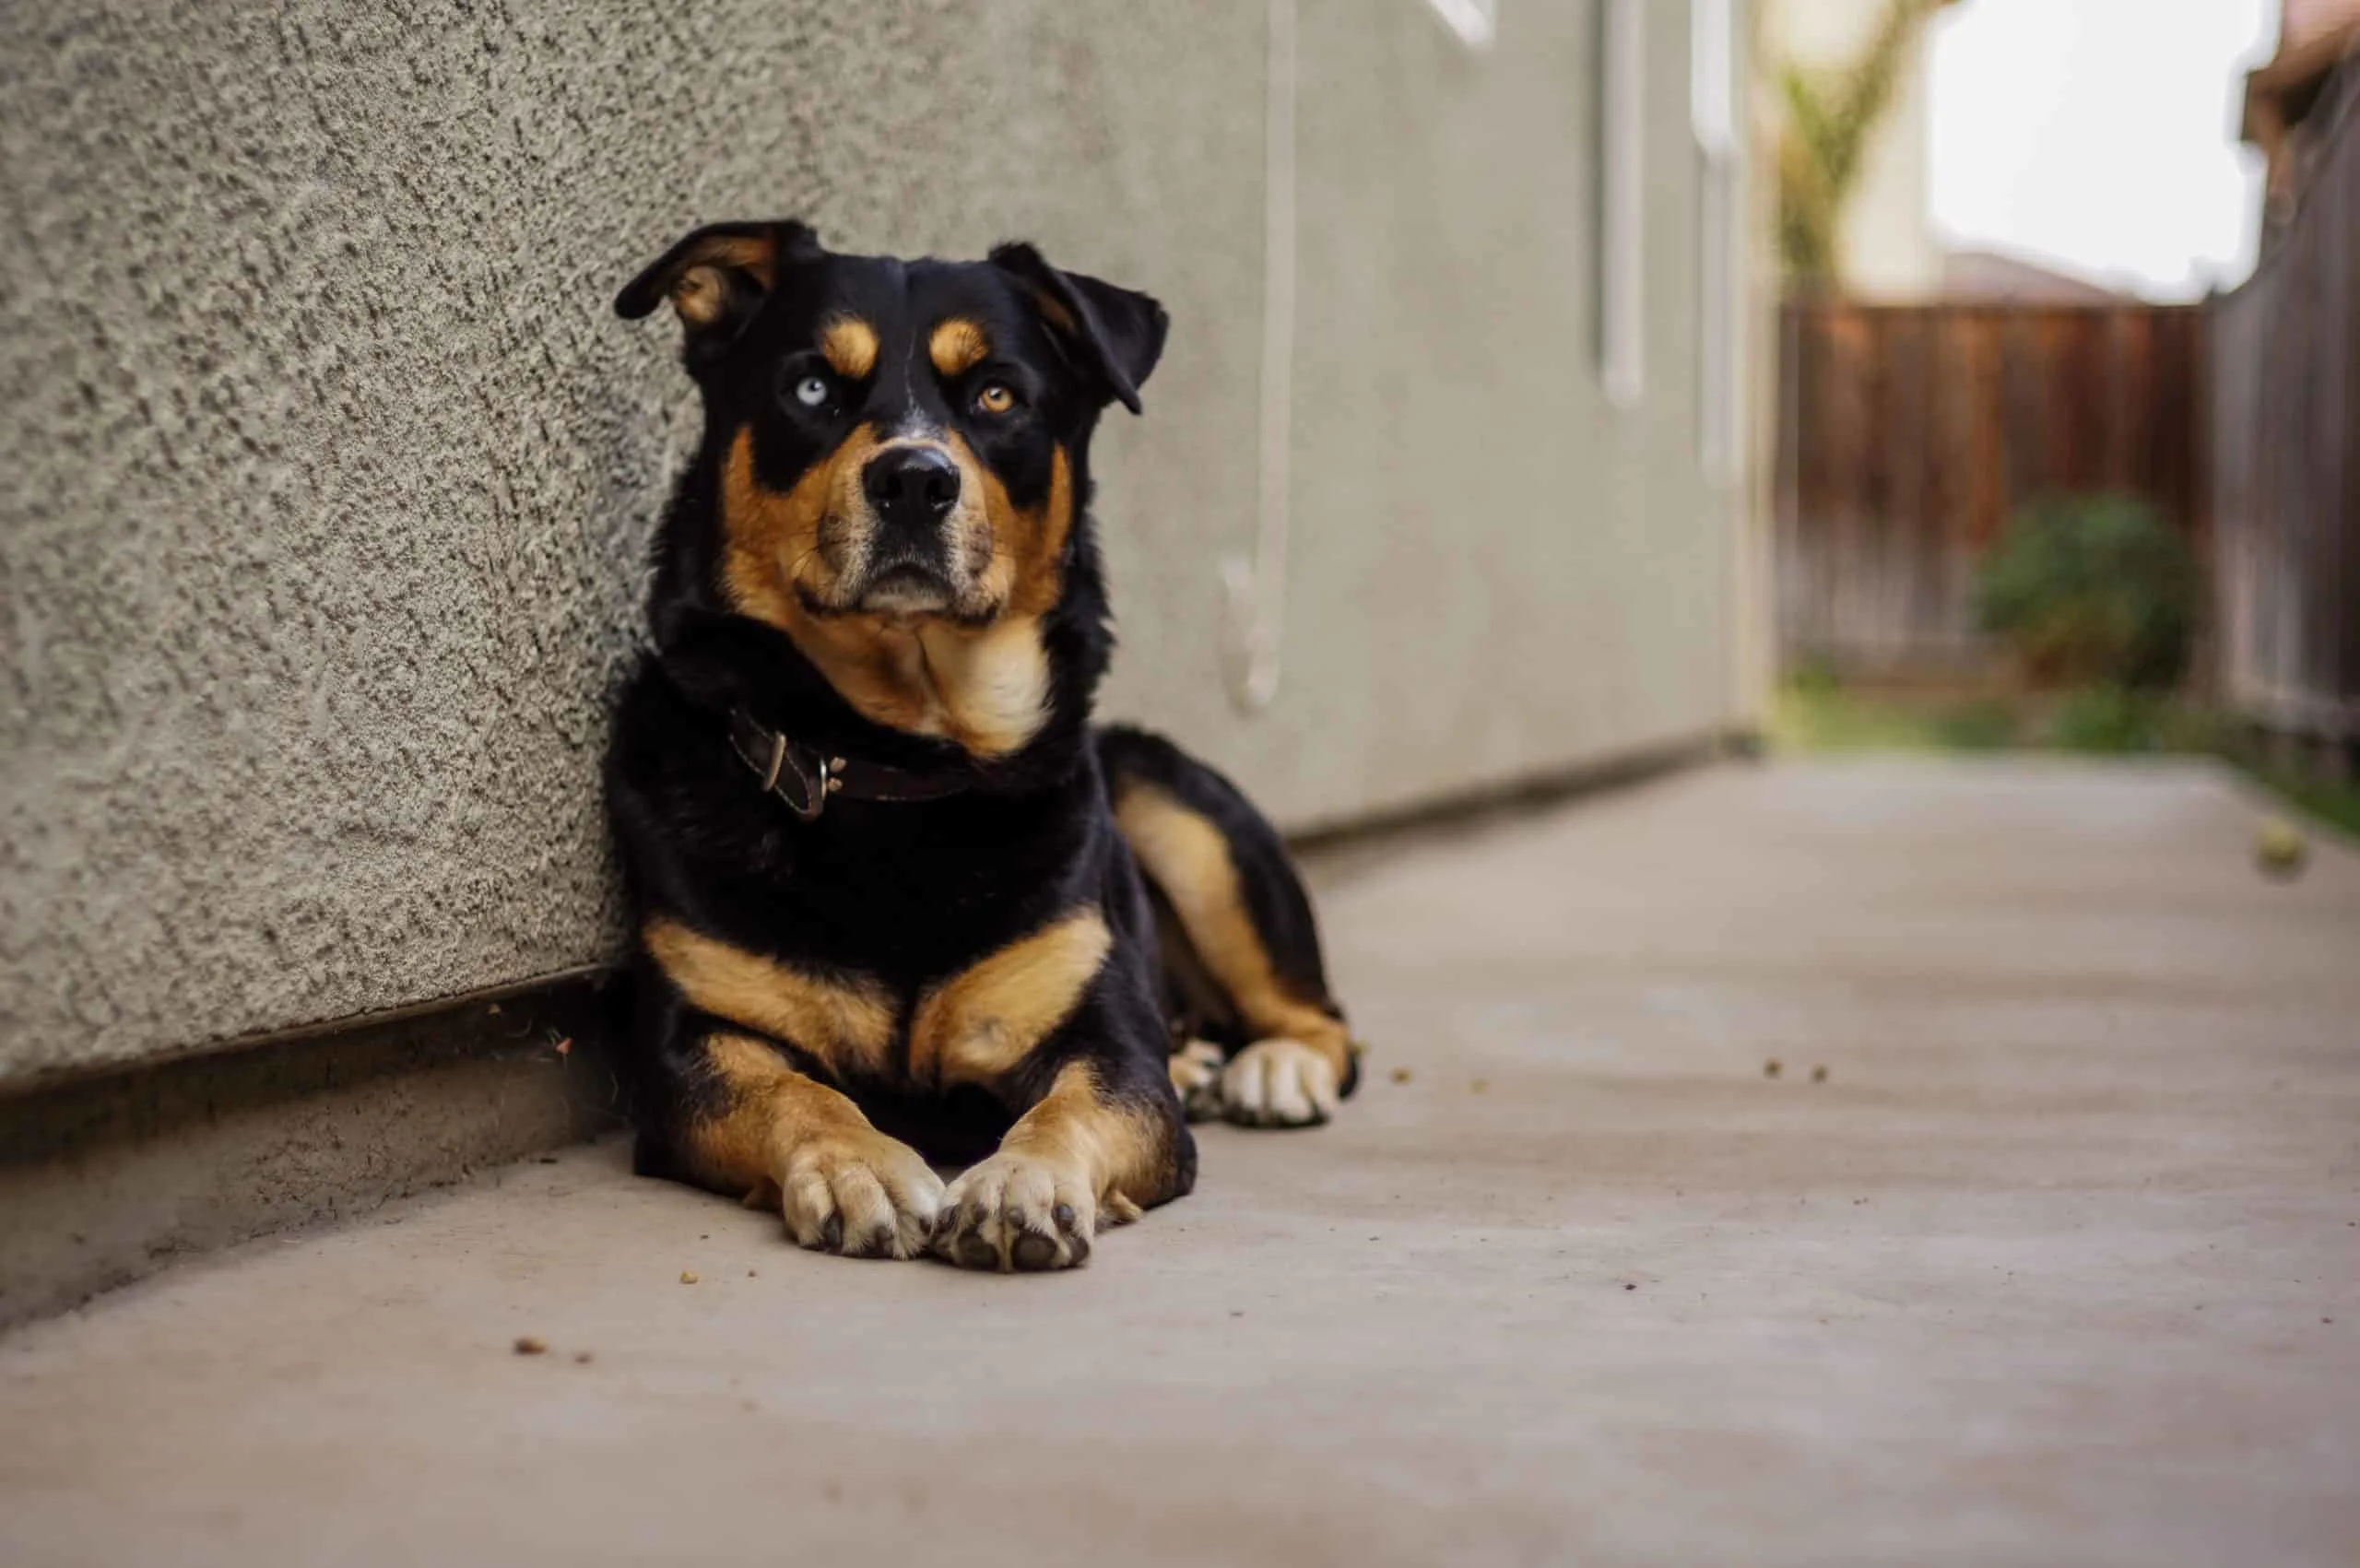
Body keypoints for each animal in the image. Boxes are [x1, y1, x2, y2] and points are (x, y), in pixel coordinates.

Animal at [604, 223, 1368, 1275]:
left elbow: (1073, 1108)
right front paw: (861, 1166)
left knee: (1325, 1022)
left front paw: (1021, 1182)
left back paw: (1273, 1069)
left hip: (1178, 803)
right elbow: (796, 1091)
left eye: (998, 394)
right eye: (812, 388)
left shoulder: (1107, 1048)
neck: (897, 764)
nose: (915, 480)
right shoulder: (695, 1042)